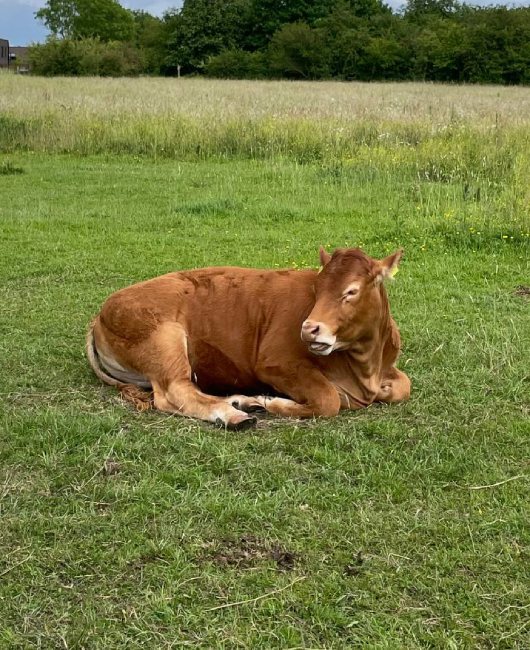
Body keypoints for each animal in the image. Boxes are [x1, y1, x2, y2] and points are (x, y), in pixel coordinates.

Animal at [85, 246, 408, 428]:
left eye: (351, 291)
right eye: (317, 288)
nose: (308, 329)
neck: (365, 369)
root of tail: (100, 313)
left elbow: (404, 386)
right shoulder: (274, 363)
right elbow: (329, 400)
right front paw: (270, 402)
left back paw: (242, 401)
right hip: (166, 339)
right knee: (174, 392)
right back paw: (233, 414)